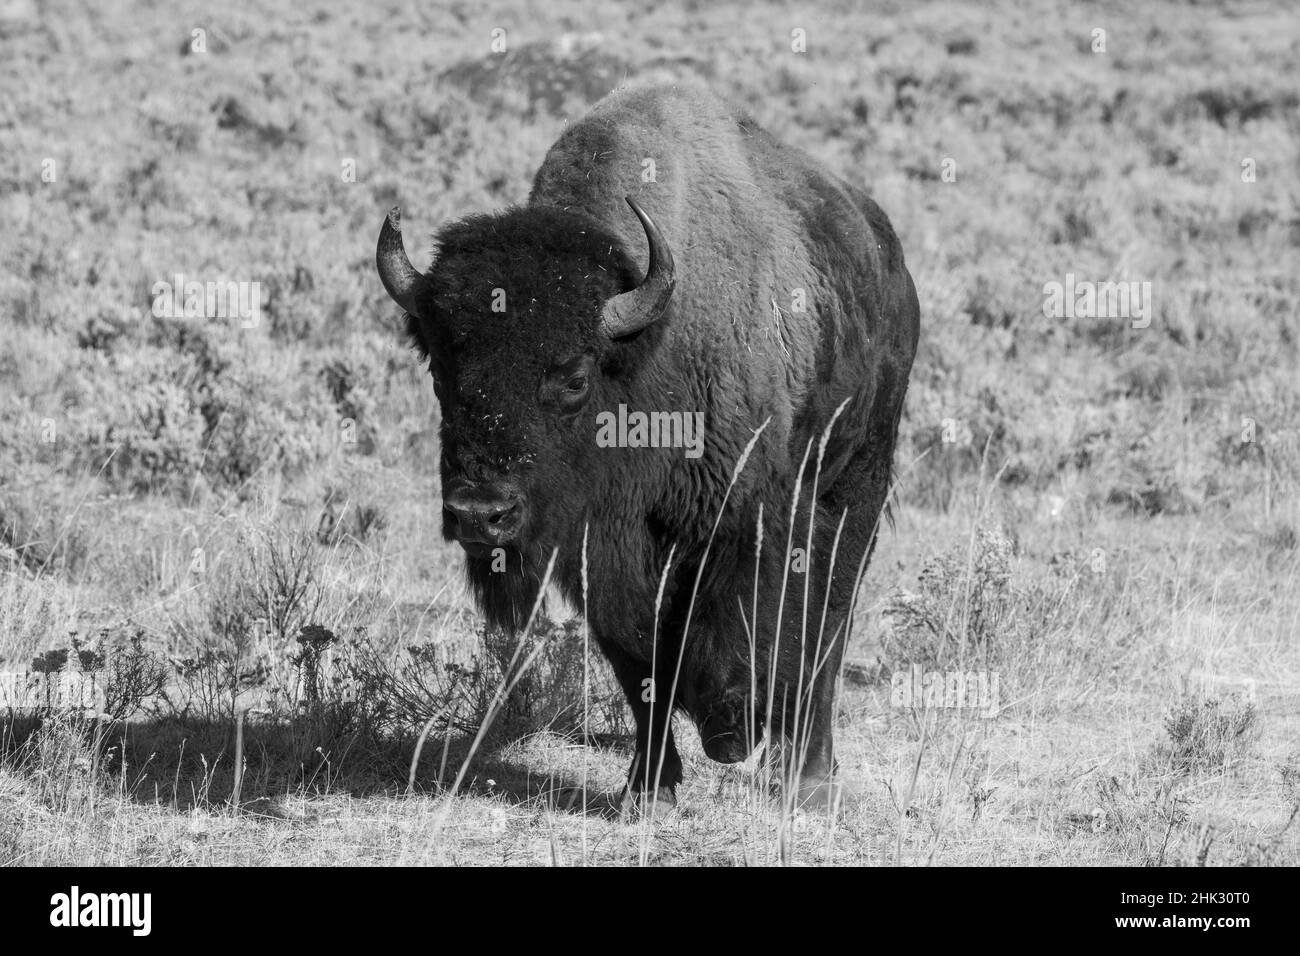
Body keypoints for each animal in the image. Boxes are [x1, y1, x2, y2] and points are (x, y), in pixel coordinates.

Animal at [379, 83, 920, 816]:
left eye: (574, 378)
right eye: (439, 370)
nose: (479, 513)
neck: (646, 349)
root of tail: (890, 261)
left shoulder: (752, 520)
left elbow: (757, 632)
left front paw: (732, 739)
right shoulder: (602, 552)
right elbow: (641, 664)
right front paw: (648, 787)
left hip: (859, 479)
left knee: (831, 626)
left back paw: (806, 779)